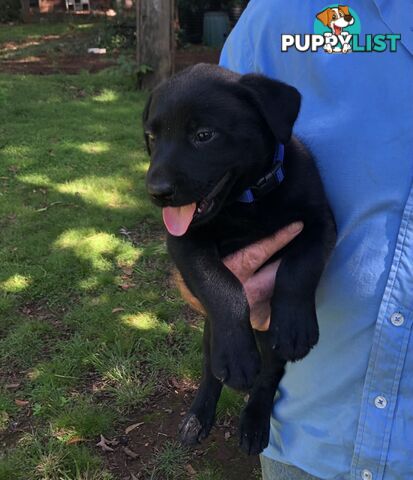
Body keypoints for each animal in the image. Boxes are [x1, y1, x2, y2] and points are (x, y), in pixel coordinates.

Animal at [142, 63, 334, 454]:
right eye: (152, 137)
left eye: (204, 135)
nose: (156, 192)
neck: (246, 202)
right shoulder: (184, 243)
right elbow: (221, 284)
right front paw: (237, 357)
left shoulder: (321, 222)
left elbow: (298, 268)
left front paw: (295, 326)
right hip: (209, 332)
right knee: (210, 369)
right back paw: (198, 416)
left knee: (270, 373)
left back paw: (255, 422)